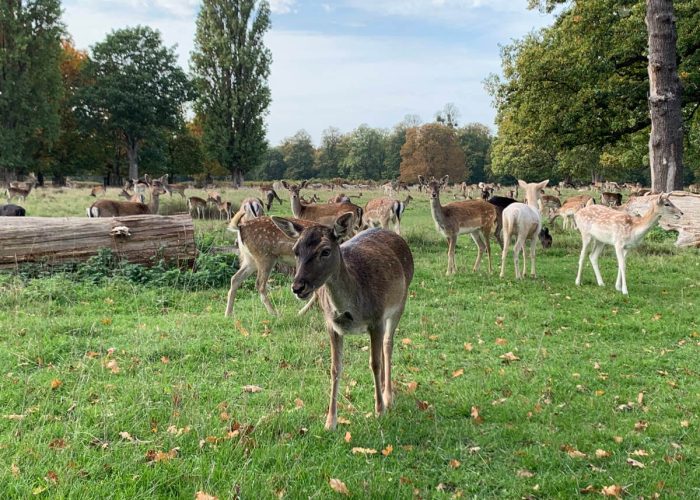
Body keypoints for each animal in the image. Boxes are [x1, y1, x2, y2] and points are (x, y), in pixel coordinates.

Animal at [271, 213, 414, 430]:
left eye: (325, 251)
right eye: (296, 250)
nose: (298, 287)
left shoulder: (377, 319)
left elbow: (374, 363)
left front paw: (379, 410)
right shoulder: (331, 325)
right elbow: (335, 368)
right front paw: (330, 421)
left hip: (400, 304)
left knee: (388, 345)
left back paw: (388, 396)